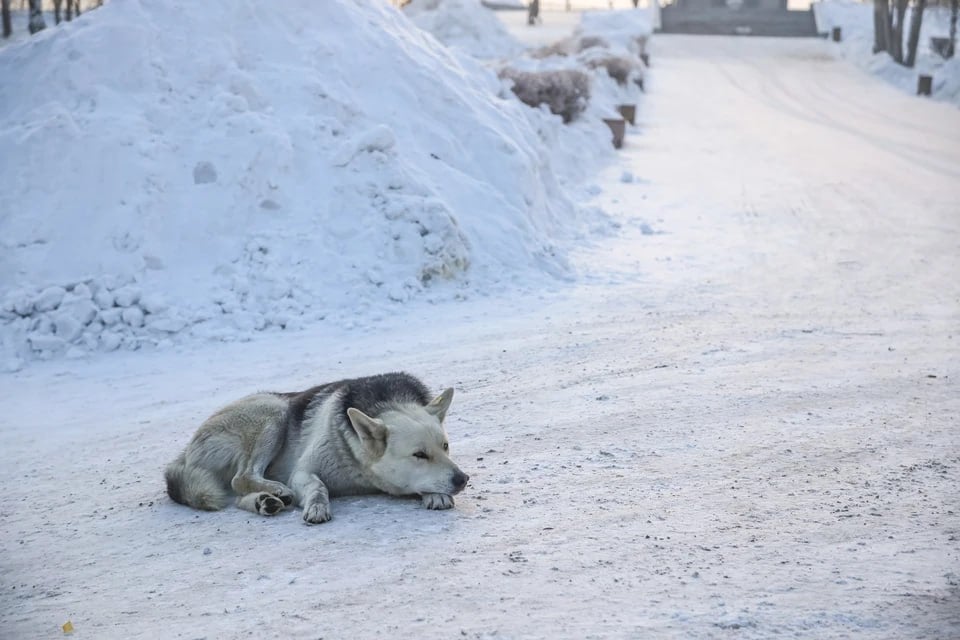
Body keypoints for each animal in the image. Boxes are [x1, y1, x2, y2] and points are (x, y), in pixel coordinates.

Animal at [166, 372, 472, 524]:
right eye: (419, 455)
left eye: (445, 447)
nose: (463, 479)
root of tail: (185, 452)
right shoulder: (303, 472)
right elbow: (317, 486)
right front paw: (316, 505)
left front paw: (436, 494)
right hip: (274, 413)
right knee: (241, 478)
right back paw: (275, 492)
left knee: (238, 493)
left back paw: (264, 501)